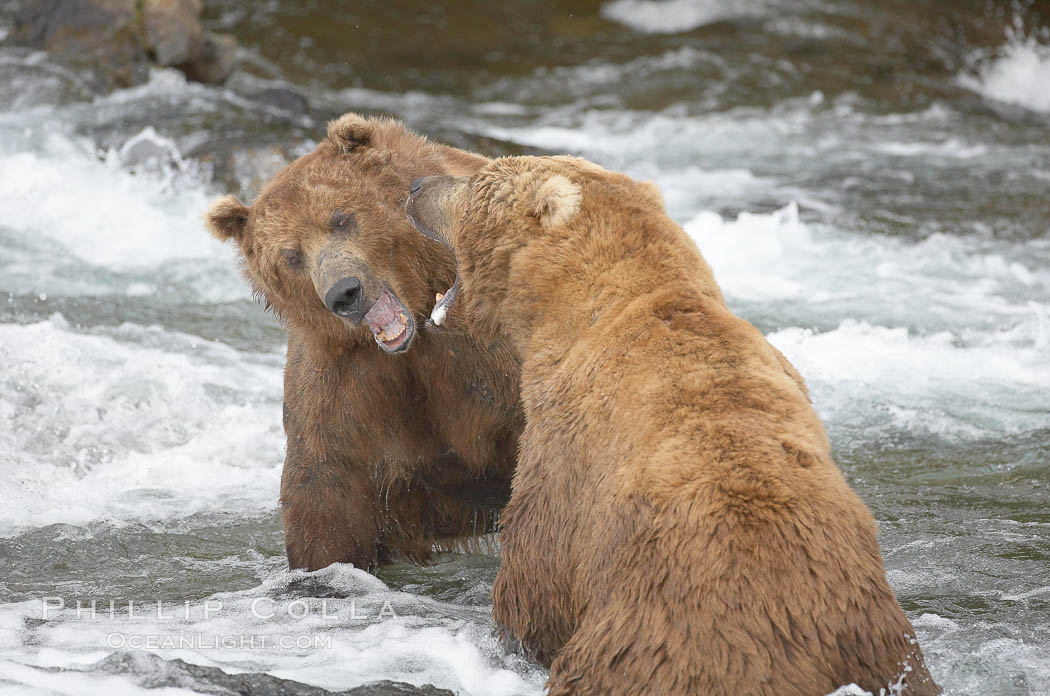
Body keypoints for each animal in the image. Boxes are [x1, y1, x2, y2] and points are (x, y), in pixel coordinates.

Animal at [205, 113, 523, 573]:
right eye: (290, 255)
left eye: (340, 219)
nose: (345, 293)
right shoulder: (342, 382)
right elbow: (324, 495)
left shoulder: (489, 356)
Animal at [405, 155, 940, 696]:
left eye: (474, 180)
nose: (416, 186)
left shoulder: (566, 449)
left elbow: (537, 574)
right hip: (885, 645)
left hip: (658, 636)